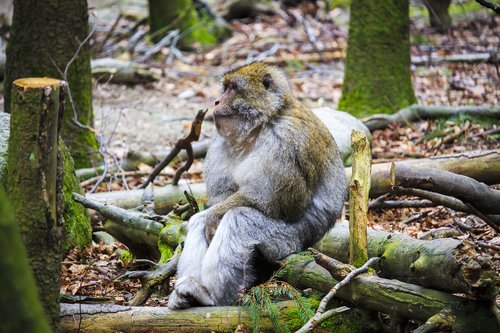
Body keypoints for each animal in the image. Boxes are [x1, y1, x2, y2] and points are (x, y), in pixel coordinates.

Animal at [169, 61, 348, 308]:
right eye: (225, 88)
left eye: (233, 88)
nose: (216, 101)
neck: (262, 124)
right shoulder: (219, 143)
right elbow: (222, 196)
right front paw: (211, 215)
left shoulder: (286, 141)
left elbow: (282, 202)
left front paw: (215, 216)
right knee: (199, 221)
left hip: (287, 241)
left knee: (239, 219)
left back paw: (211, 296)